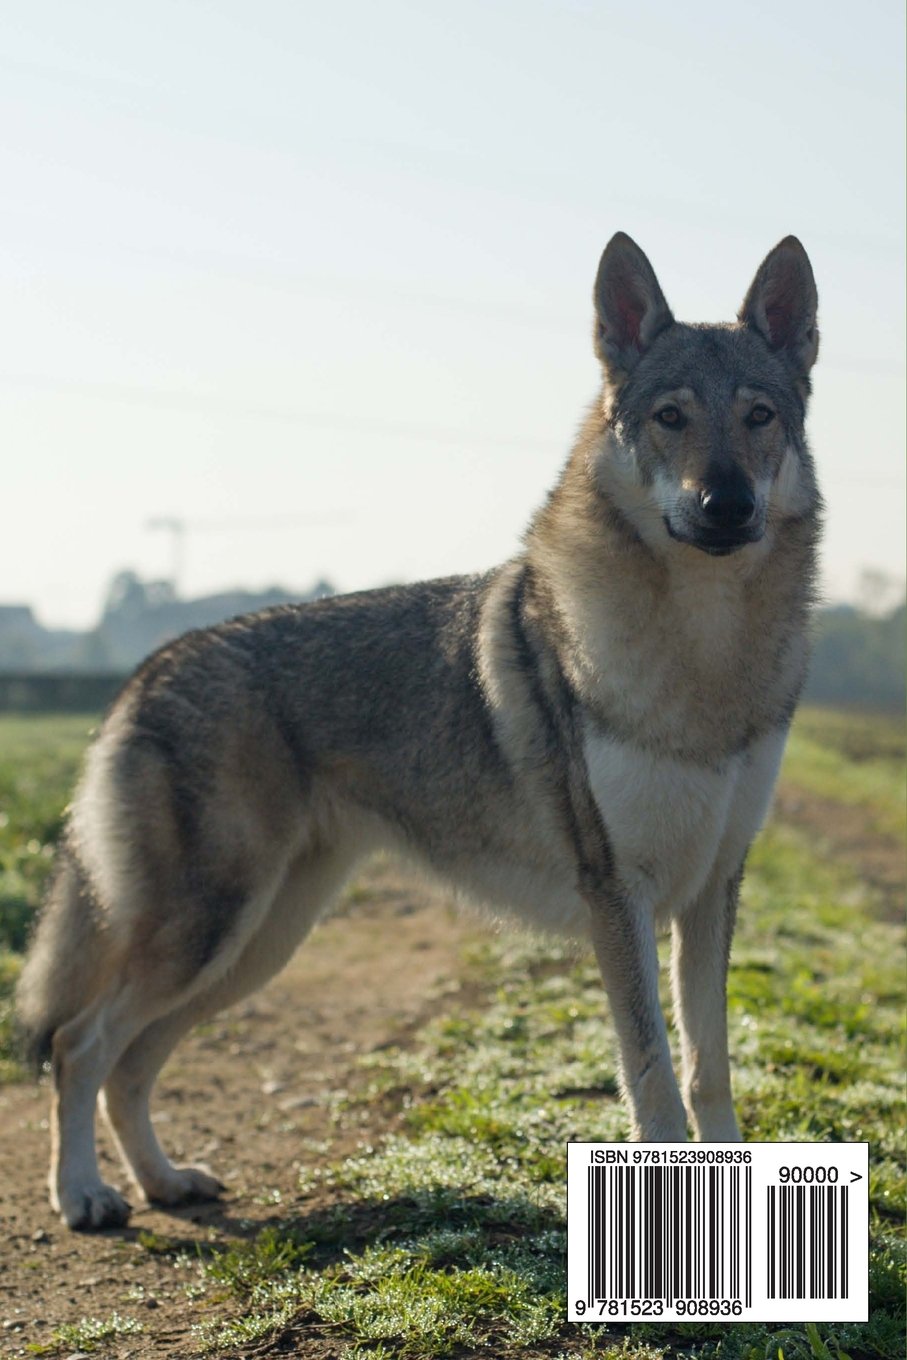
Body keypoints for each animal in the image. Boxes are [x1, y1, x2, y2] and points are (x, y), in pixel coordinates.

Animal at [17, 233, 821, 1229]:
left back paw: (164, 1183)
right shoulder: (619, 894)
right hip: (210, 932)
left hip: (255, 944)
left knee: (129, 1061)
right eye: (671, 417)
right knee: (79, 1043)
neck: (704, 655)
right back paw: (84, 1196)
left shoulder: (712, 887)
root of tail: (149, 667)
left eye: (758, 416)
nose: (725, 505)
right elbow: (652, 1072)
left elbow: (710, 1068)